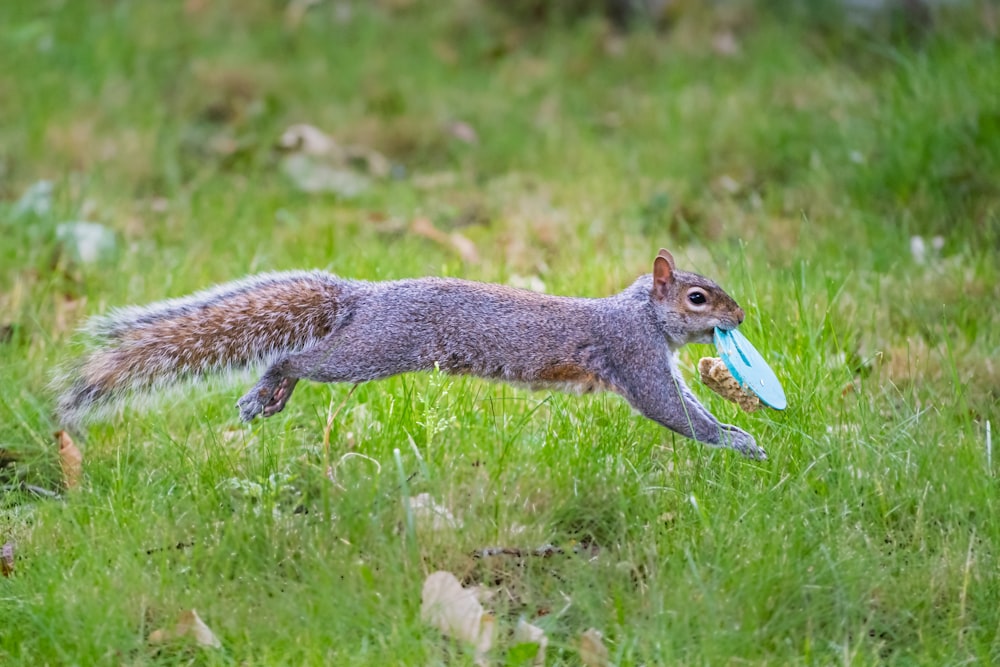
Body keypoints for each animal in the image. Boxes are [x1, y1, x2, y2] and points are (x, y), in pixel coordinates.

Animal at [56, 248, 764, 462]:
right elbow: (674, 411)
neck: (639, 313)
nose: (740, 318)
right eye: (699, 297)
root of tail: (364, 297)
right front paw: (738, 441)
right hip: (371, 350)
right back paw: (269, 388)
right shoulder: (634, 356)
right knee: (297, 361)